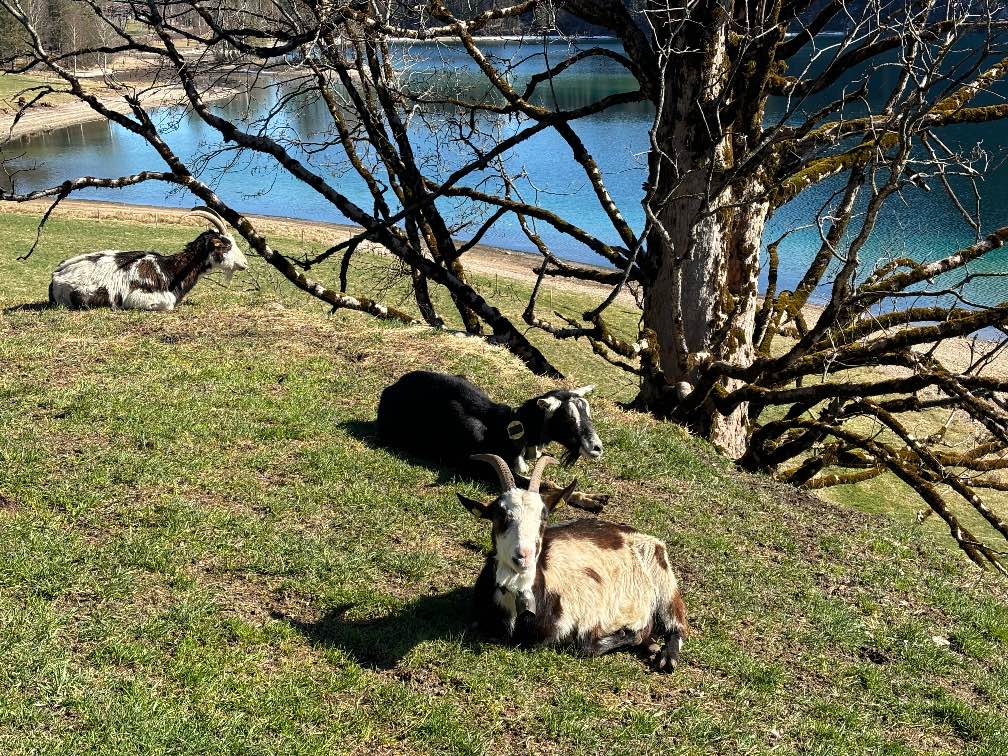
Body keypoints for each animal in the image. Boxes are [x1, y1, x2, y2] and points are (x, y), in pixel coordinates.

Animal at [48, 208, 248, 310]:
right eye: (226, 245)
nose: (245, 263)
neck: (170, 269)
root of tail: (56, 276)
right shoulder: (139, 298)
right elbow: (167, 304)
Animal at [376, 370, 606, 511]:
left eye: (588, 413)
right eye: (568, 418)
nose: (597, 448)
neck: (502, 428)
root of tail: (394, 386)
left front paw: (592, 498)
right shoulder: (480, 467)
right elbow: (542, 483)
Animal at [459, 454, 688, 671]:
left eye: (543, 518)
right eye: (500, 517)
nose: (523, 556)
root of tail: (629, 530)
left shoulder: (585, 617)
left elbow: (583, 645)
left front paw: (630, 632)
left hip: (663, 578)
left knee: (678, 626)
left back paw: (667, 658)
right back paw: (652, 646)